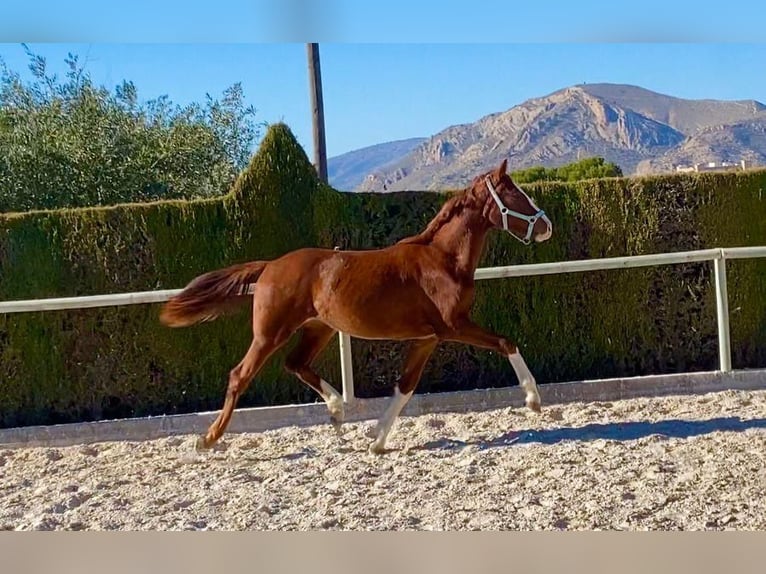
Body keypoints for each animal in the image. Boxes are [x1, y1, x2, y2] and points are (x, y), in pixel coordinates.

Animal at [160, 159, 552, 454]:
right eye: (514, 193)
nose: (546, 226)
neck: (443, 260)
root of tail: (270, 266)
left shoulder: (428, 338)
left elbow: (405, 386)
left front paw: (376, 440)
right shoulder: (453, 326)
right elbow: (506, 342)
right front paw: (533, 399)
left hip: (318, 328)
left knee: (295, 364)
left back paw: (337, 412)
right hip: (270, 332)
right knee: (240, 375)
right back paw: (208, 439)